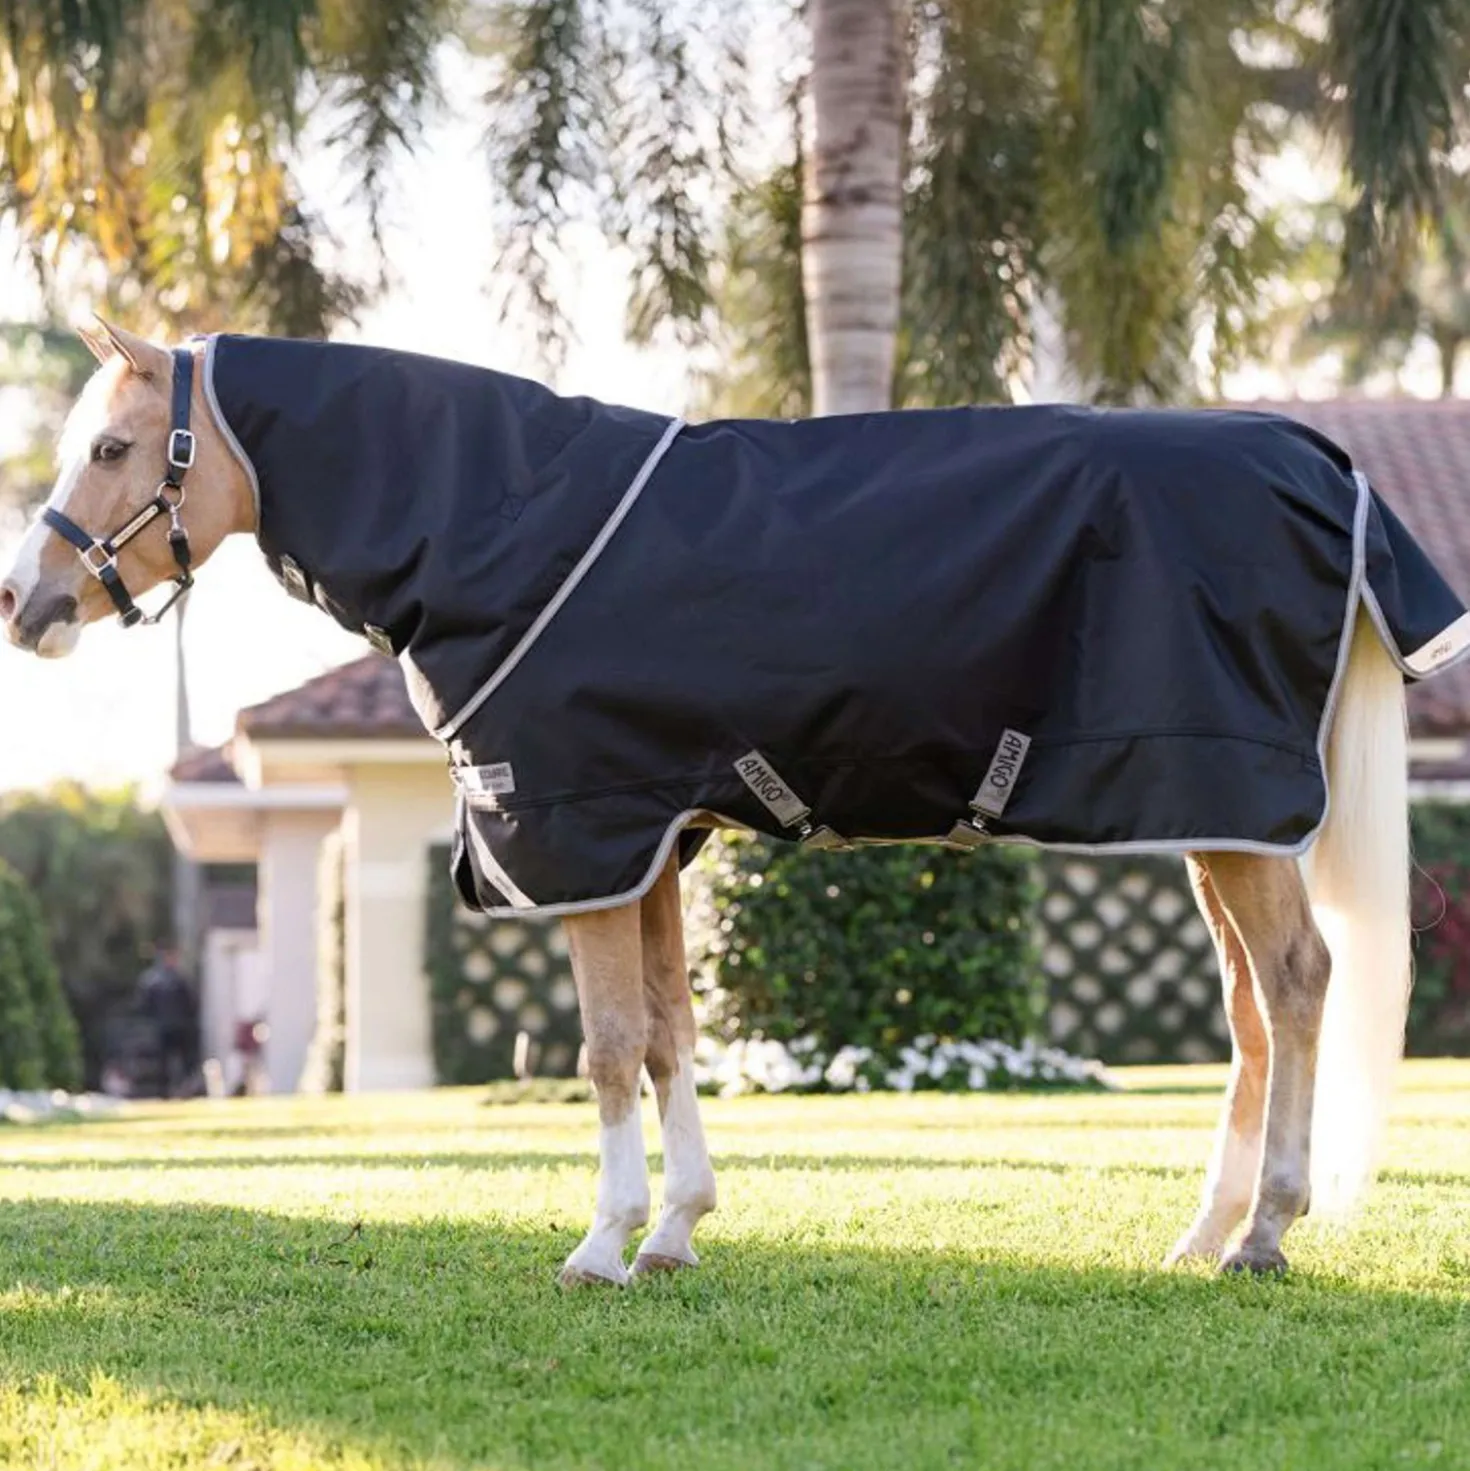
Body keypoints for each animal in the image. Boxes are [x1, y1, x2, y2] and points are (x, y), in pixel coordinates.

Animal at [0, 318, 1442, 1283]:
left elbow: (603, 1045)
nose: (28, 603)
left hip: (1233, 803)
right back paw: (1201, 1232)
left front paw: (600, 1242)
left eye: (116, 445)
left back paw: (1265, 1232)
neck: (496, 524)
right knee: (1250, 1009)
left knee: (1299, 981)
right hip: (1212, 815)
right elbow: (669, 1033)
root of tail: (1323, 466)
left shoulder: (581, 829)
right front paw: (677, 1228)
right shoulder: (652, 838)